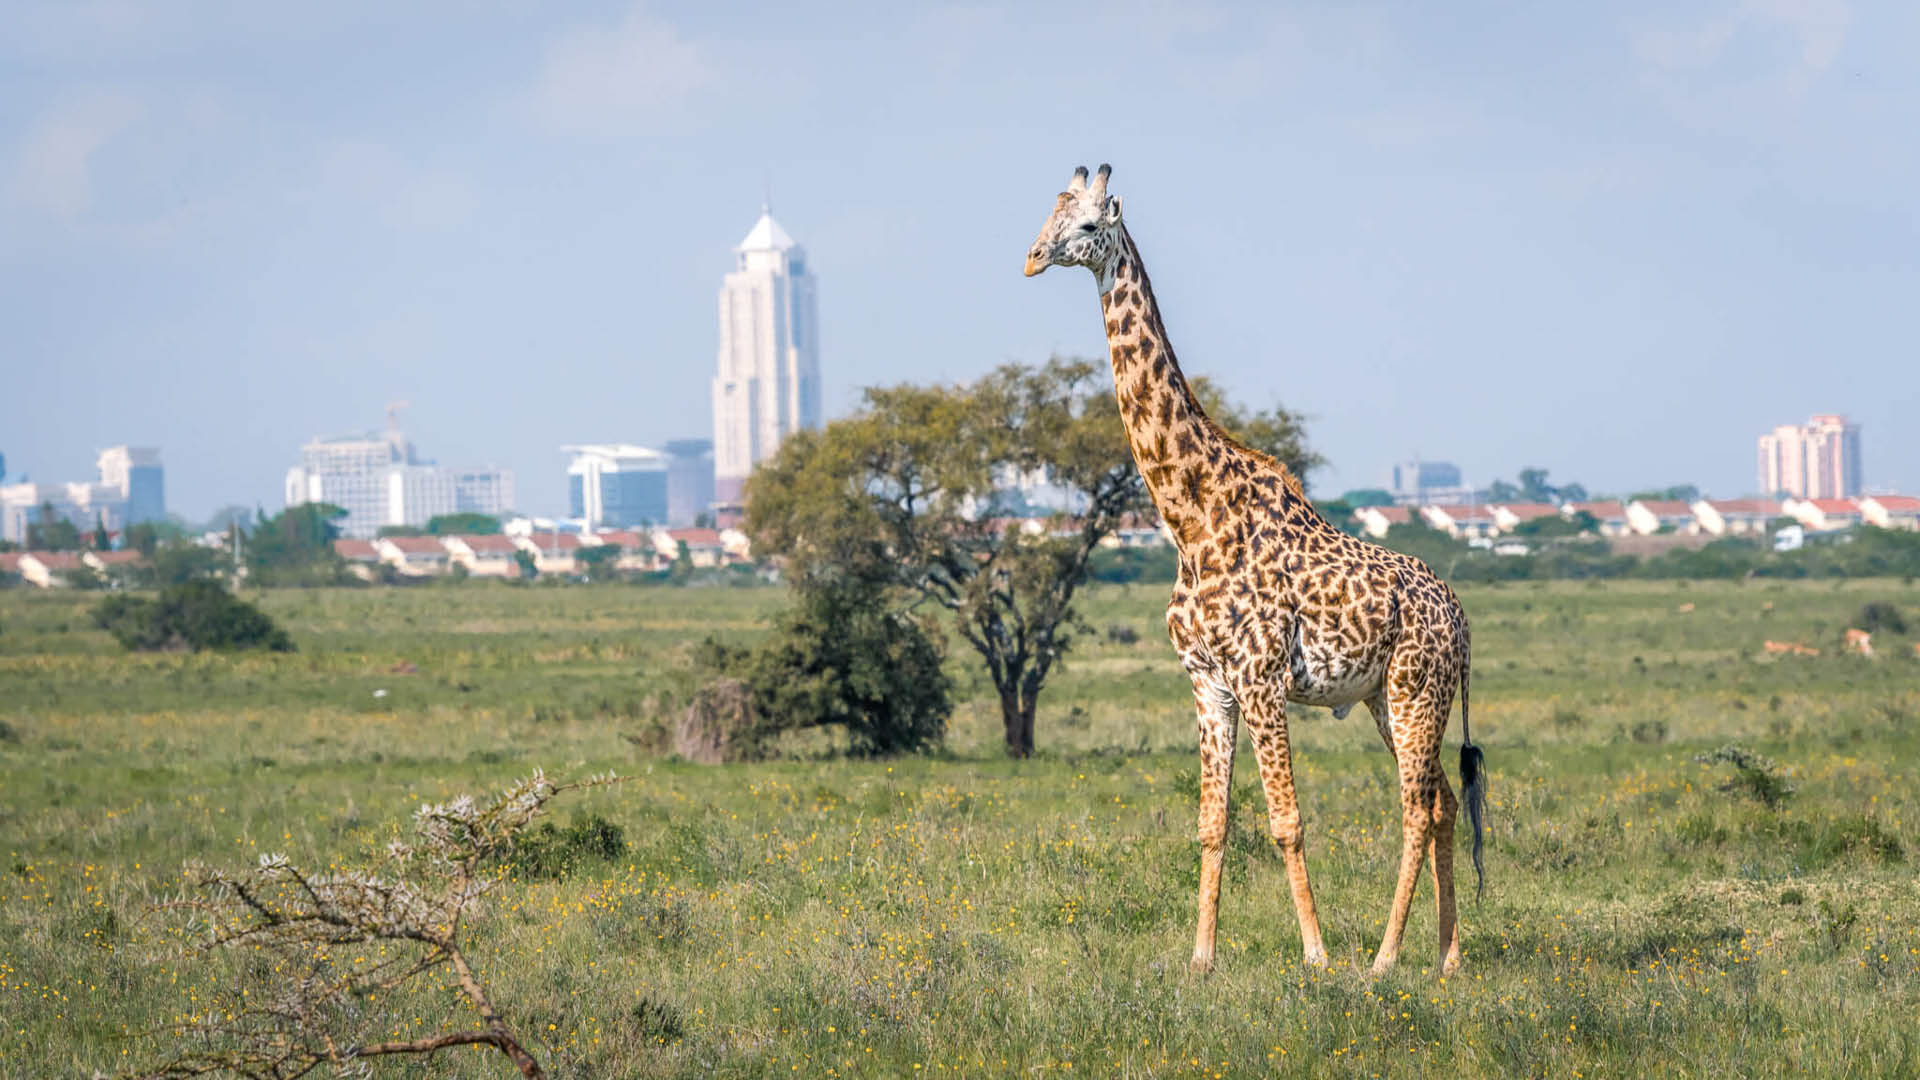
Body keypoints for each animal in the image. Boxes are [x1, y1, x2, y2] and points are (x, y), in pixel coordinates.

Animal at [1024, 164, 1486, 976]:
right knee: (1443, 803)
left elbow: (1286, 821)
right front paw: (1201, 959)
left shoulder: (1262, 678)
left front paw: (1316, 956)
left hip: (1415, 690)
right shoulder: (1208, 683)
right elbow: (1212, 823)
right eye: (1048, 215)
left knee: (1414, 808)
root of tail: (1460, 620)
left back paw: (1384, 959)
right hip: (1384, 697)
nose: (1032, 257)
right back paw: (1447, 957)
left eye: (1086, 224)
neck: (1191, 517)